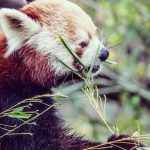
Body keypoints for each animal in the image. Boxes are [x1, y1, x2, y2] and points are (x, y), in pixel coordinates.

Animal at [0, 0, 142, 149]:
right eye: (83, 44)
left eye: (95, 33)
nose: (104, 54)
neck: (20, 71)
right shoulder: (14, 104)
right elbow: (42, 141)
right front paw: (119, 143)